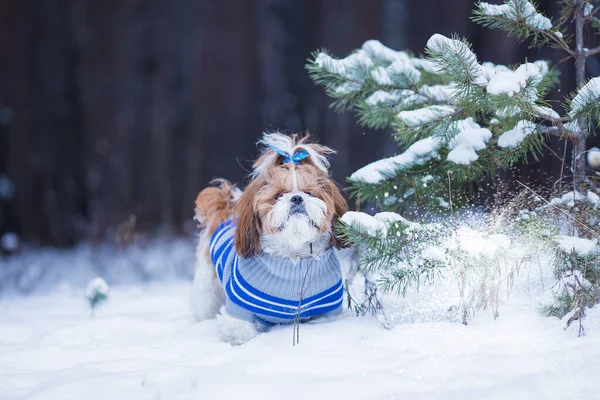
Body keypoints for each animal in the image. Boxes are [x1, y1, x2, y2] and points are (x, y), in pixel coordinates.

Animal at [190, 131, 350, 344]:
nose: (297, 198)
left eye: (309, 192)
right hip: (207, 288)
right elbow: (238, 331)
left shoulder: (328, 309)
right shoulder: (238, 310)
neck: (293, 257)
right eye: (278, 195)